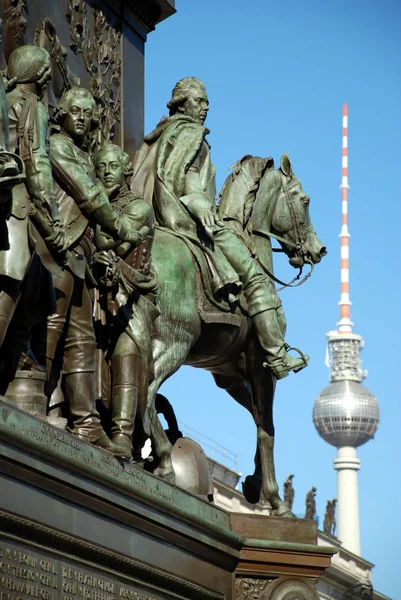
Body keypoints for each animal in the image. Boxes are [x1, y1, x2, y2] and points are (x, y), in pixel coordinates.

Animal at [143, 152, 324, 512]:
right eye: (305, 200)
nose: (319, 249)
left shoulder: (228, 375)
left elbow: (257, 418)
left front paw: (254, 485)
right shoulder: (263, 364)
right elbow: (267, 427)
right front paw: (274, 499)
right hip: (174, 341)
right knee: (147, 387)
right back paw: (164, 461)